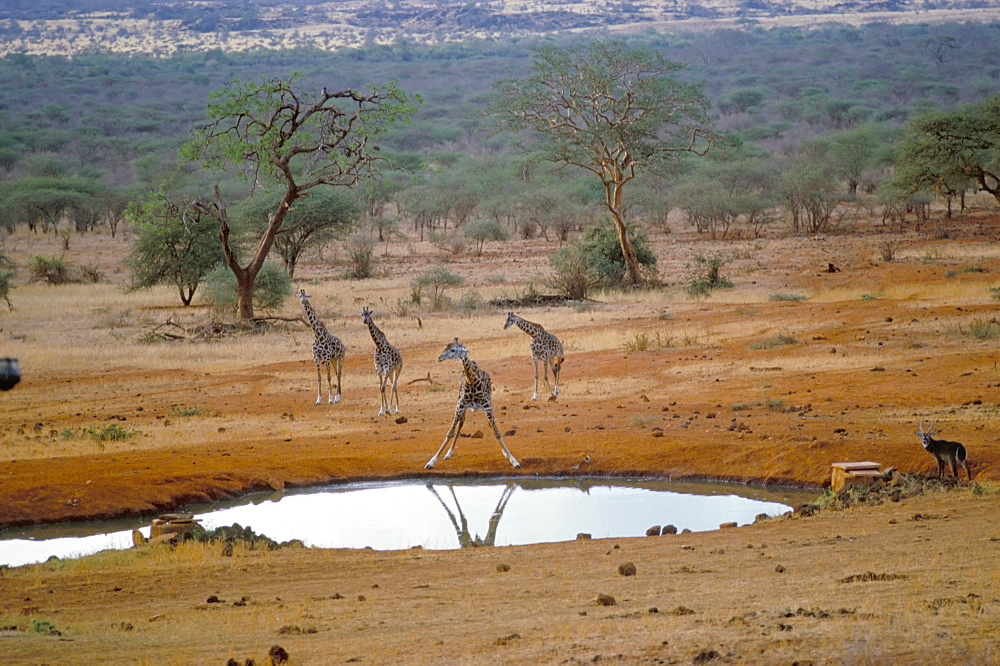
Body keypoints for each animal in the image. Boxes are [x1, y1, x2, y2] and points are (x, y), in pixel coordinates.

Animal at [426, 340, 524, 470]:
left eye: (453, 350)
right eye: (446, 347)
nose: (439, 358)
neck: (472, 381)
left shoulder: (487, 406)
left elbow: (497, 432)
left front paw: (513, 460)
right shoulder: (460, 405)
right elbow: (450, 432)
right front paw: (431, 461)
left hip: (489, 403)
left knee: (490, 425)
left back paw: (505, 452)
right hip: (461, 406)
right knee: (461, 423)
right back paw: (448, 453)